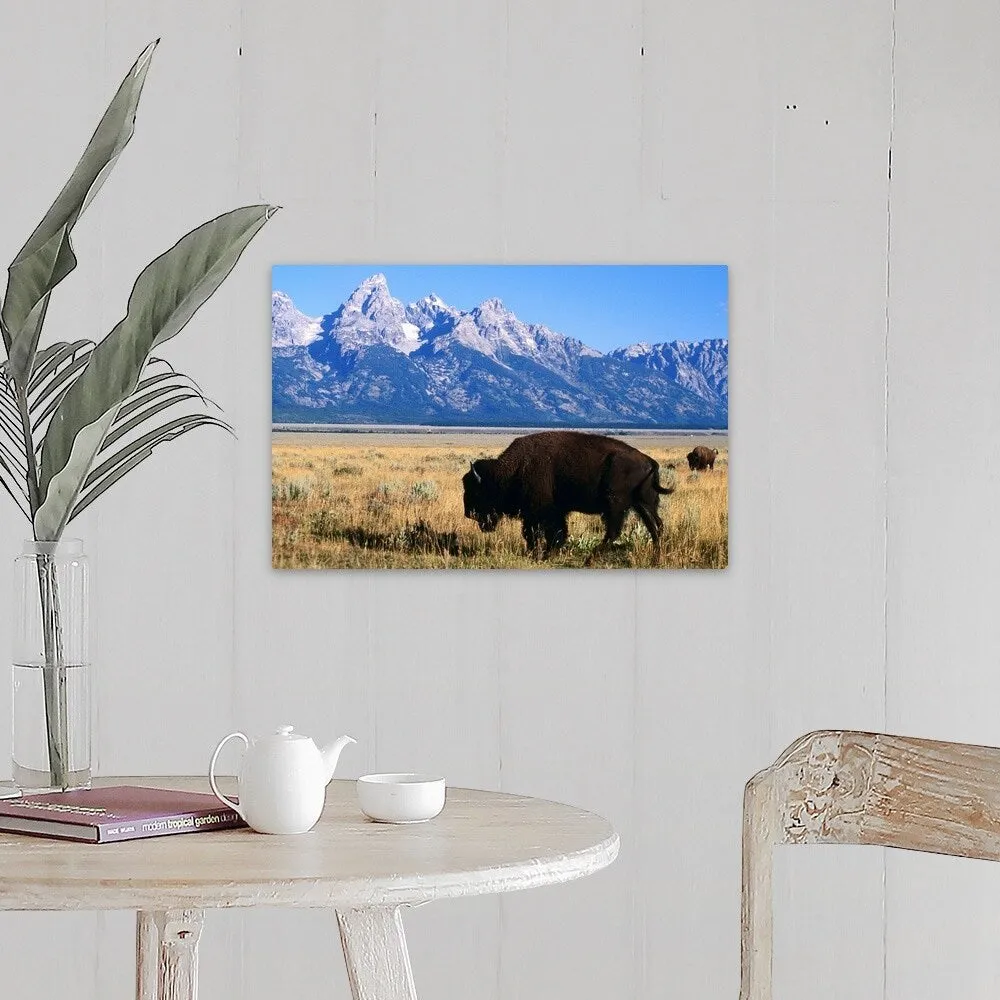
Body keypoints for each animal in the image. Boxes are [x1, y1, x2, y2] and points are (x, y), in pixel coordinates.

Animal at [464, 432, 676, 564]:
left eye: (476, 491)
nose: (468, 513)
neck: (512, 470)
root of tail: (649, 461)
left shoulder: (540, 512)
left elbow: (538, 533)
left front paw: (541, 555)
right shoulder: (555, 512)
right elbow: (554, 533)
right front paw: (545, 553)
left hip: (615, 504)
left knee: (614, 532)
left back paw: (589, 560)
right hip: (644, 504)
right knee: (655, 527)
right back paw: (656, 558)